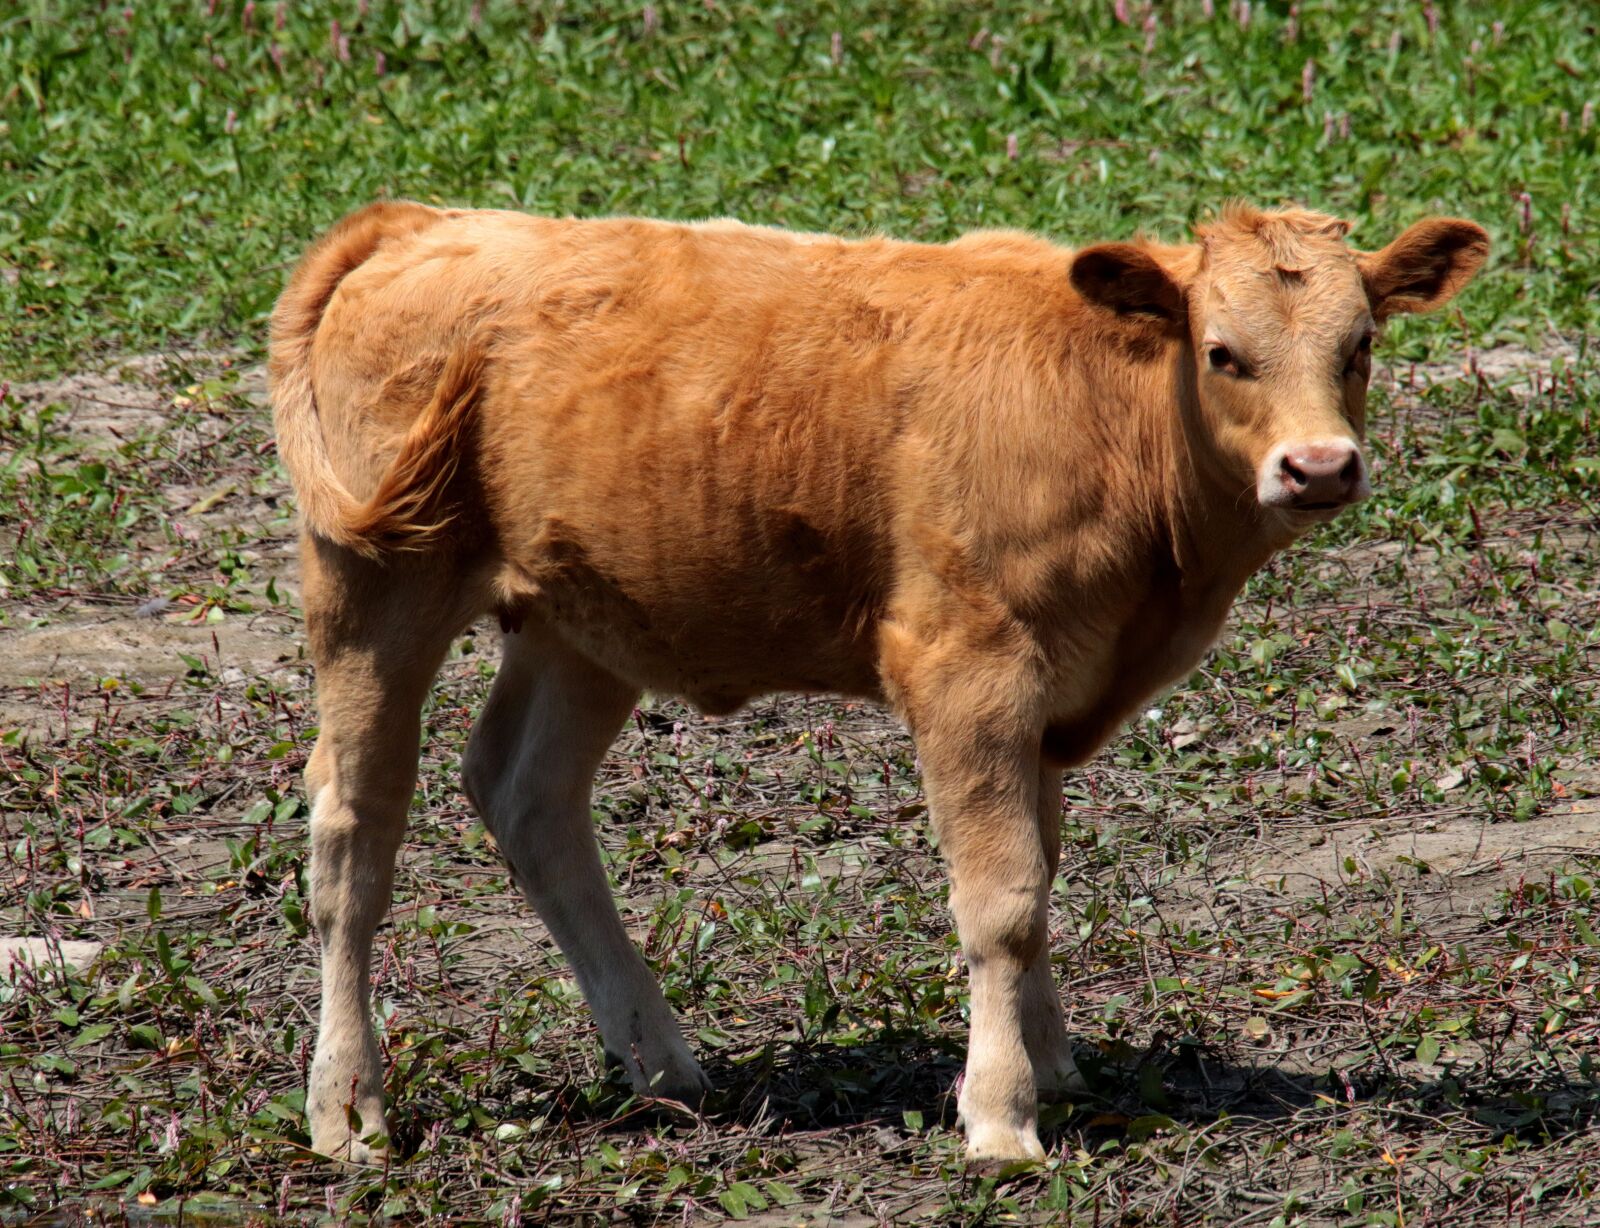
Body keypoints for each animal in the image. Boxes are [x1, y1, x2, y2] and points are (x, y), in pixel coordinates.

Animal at [269, 201, 1487, 1163]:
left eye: (1360, 344)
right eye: (1223, 352)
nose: (1319, 467)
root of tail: (423, 222)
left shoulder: (1049, 693)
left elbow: (1041, 875)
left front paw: (1054, 1063)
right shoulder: (969, 670)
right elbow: (1003, 899)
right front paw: (1000, 1116)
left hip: (584, 626)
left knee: (529, 797)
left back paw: (660, 1063)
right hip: (376, 588)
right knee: (354, 834)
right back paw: (351, 1107)